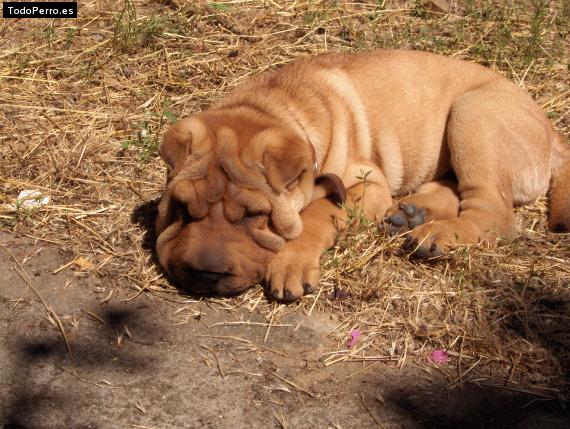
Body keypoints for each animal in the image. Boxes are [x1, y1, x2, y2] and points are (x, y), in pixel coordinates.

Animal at [152, 50, 568, 300]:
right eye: (183, 209)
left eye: (256, 216)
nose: (203, 274)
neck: (273, 107)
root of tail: (552, 132)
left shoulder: (368, 185)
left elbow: (317, 215)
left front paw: (290, 261)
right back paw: (412, 213)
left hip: (473, 114)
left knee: (494, 212)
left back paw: (438, 234)